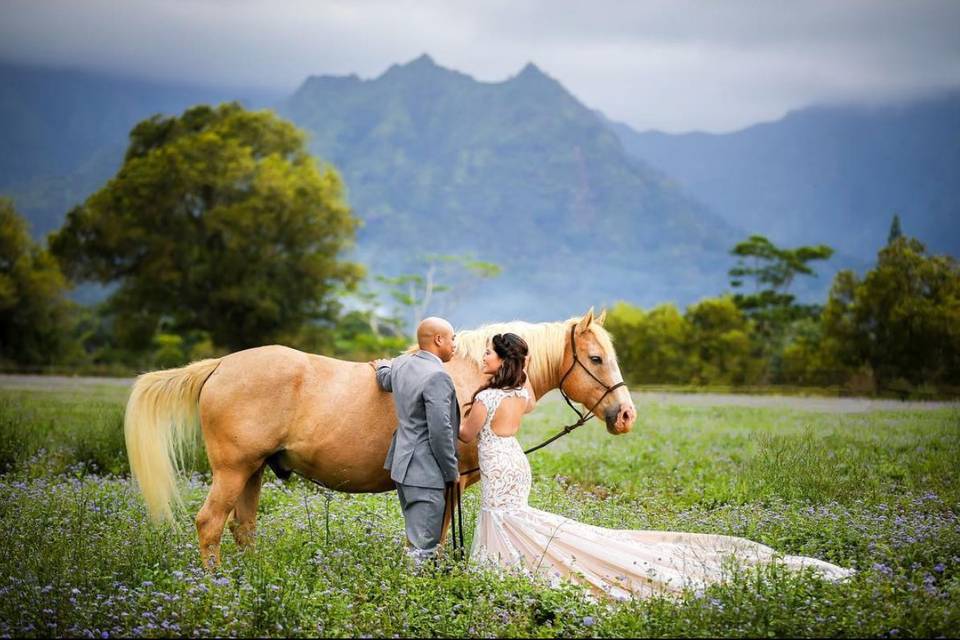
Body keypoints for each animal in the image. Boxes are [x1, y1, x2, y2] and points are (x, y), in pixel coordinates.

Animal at [127, 308, 636, 568]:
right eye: (595, 358)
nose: (626, 415)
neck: (472, 375)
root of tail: (220, 365)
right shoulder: (451, 482)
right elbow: (440, 535)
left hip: (251, 473)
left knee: (242, 528)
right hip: (232, 471)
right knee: (209, 525)